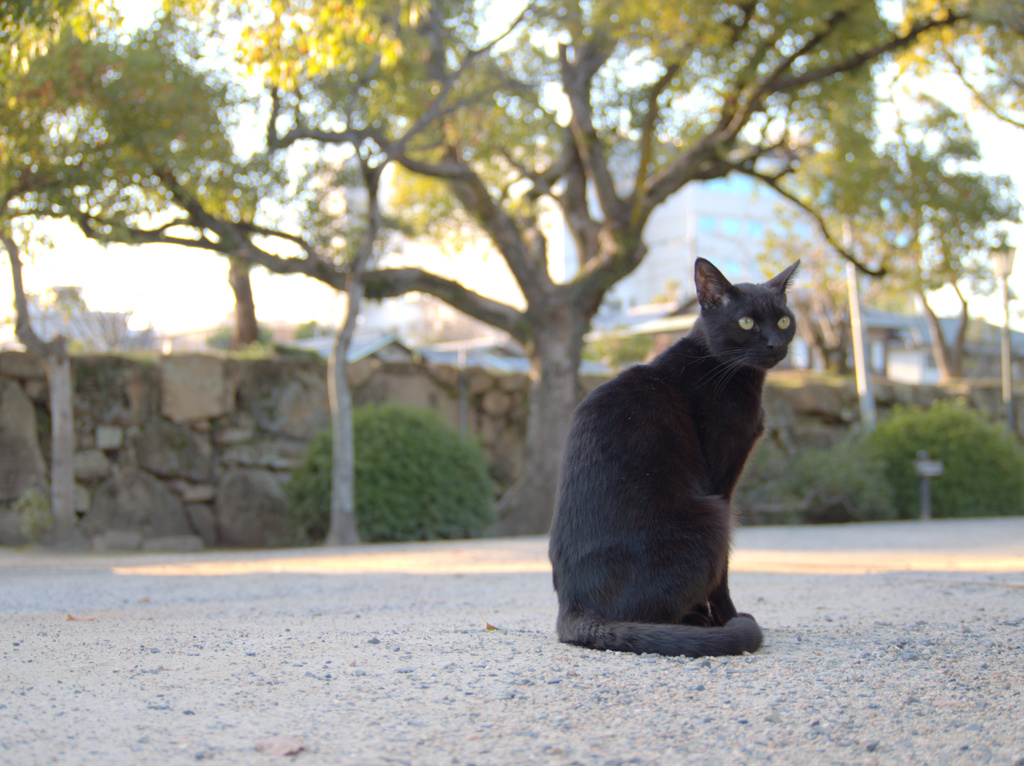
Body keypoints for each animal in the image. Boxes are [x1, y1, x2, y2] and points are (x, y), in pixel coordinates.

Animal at [552, 259, 798, 659]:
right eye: (746, 322)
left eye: (784, 320)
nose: (776, 344)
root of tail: (572, 607)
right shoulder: (721, 485)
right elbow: (722, 575)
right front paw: (727, 618)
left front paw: (713, 619)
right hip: (712, 517)